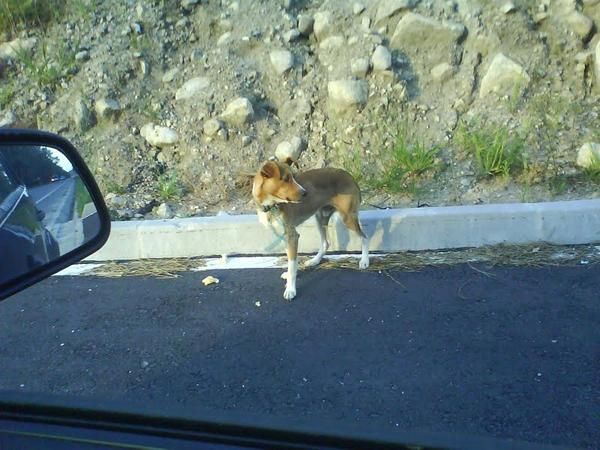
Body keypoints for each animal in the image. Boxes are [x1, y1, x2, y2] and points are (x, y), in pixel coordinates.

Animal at [252, 156, 368, 300]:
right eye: (286, 179)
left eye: (293, 177)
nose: (305, 193)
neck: (271, 206)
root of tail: (349, 175)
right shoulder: (285, 237)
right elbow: (291, 262)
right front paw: (290, 276)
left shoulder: (292, 236)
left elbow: (292, 264)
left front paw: (291, 289)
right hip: (321, 217)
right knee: (326, 242)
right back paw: (314, 261)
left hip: (347, 218)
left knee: (364, 237)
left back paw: (364, 261)